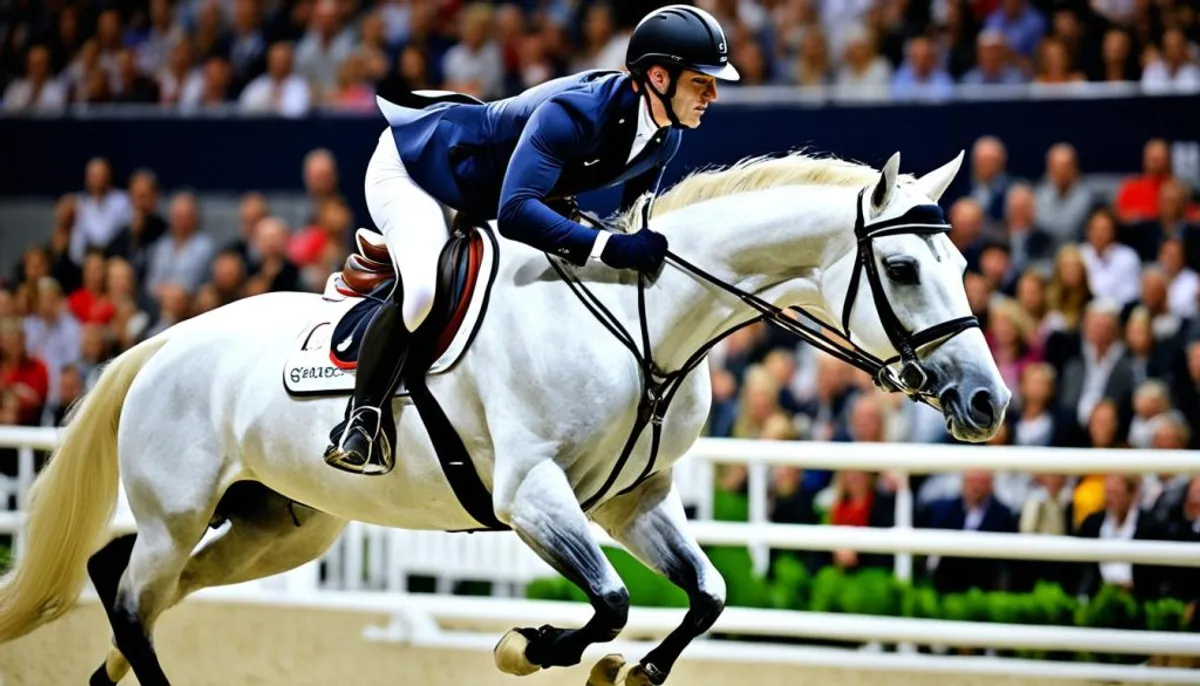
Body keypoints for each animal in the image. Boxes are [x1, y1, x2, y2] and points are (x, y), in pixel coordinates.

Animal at [0, 149, 1012, 686]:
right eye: (906, 270)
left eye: (964, 265)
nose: (988, 402)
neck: (644, 317)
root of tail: (162, 343)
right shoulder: (532, 497)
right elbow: (608, 603)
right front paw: (529, 646)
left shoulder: (634, 502)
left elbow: (708, 595)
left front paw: (634, 670)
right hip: (180, 511)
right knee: (136, 596)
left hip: (274, 530)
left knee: (136, 585)